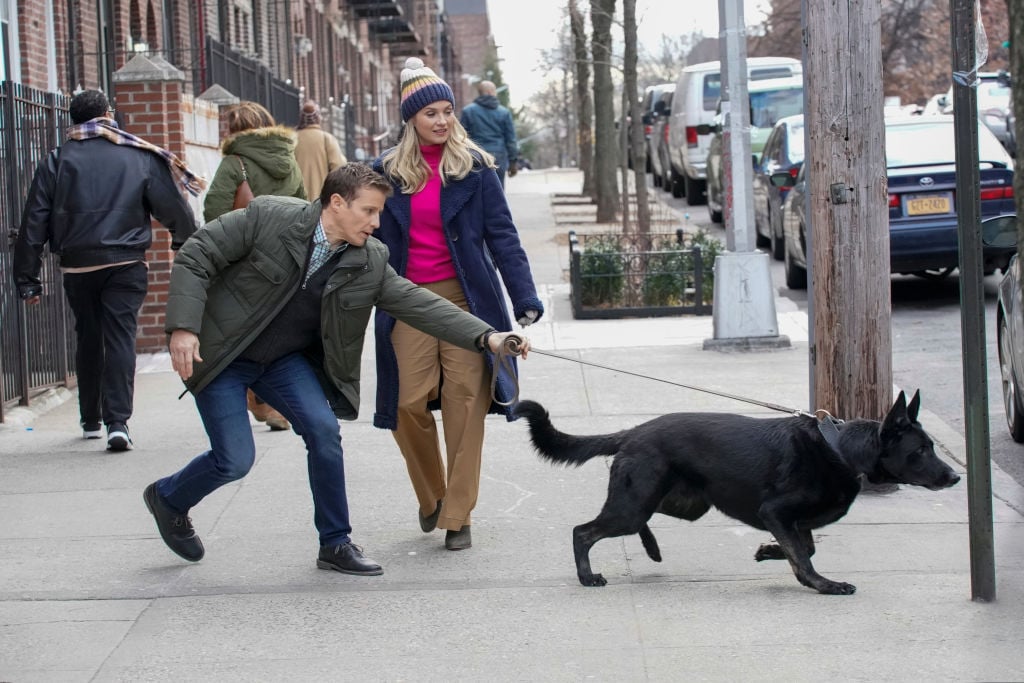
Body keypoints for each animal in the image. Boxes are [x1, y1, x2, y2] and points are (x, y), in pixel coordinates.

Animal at [520, 393, 958, 593]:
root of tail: (632, 432)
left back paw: (651, 549)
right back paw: (587, 576)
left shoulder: (790, 521)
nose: (955, 478)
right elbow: (804, 557)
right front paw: (822, 585)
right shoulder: (775, 512)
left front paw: (768, 552)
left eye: (931, 446)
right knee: (583, 531)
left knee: (639, 522)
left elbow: (804, 547)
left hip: (678, 501)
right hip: (635, 505)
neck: (841, 450)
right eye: (920, 450)